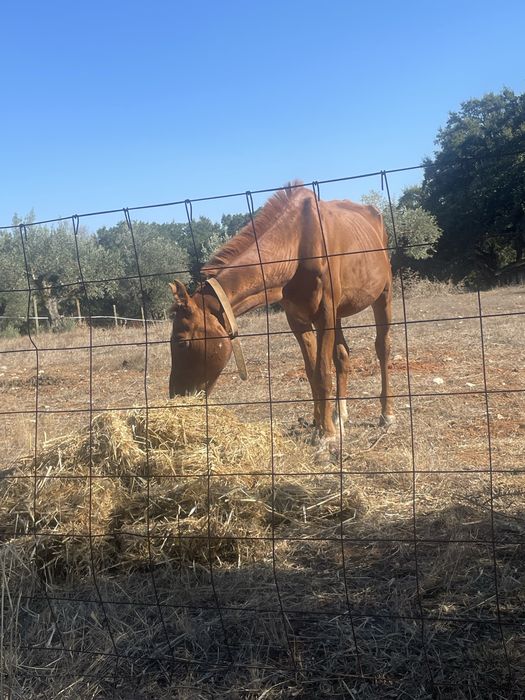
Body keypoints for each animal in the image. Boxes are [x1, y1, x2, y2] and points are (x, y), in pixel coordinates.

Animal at [169, 183, 393, 448]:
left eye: (182, 342)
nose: (176, 396)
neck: (298, 243)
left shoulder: (324, 317)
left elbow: (323, 373)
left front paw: (327, 434)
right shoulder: (299, 321)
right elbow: (312, 373)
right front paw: (319, 425)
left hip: (383, 296)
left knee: (382, 348)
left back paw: (386, 414)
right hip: (338, 315)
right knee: (342, 356)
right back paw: (340, 415)